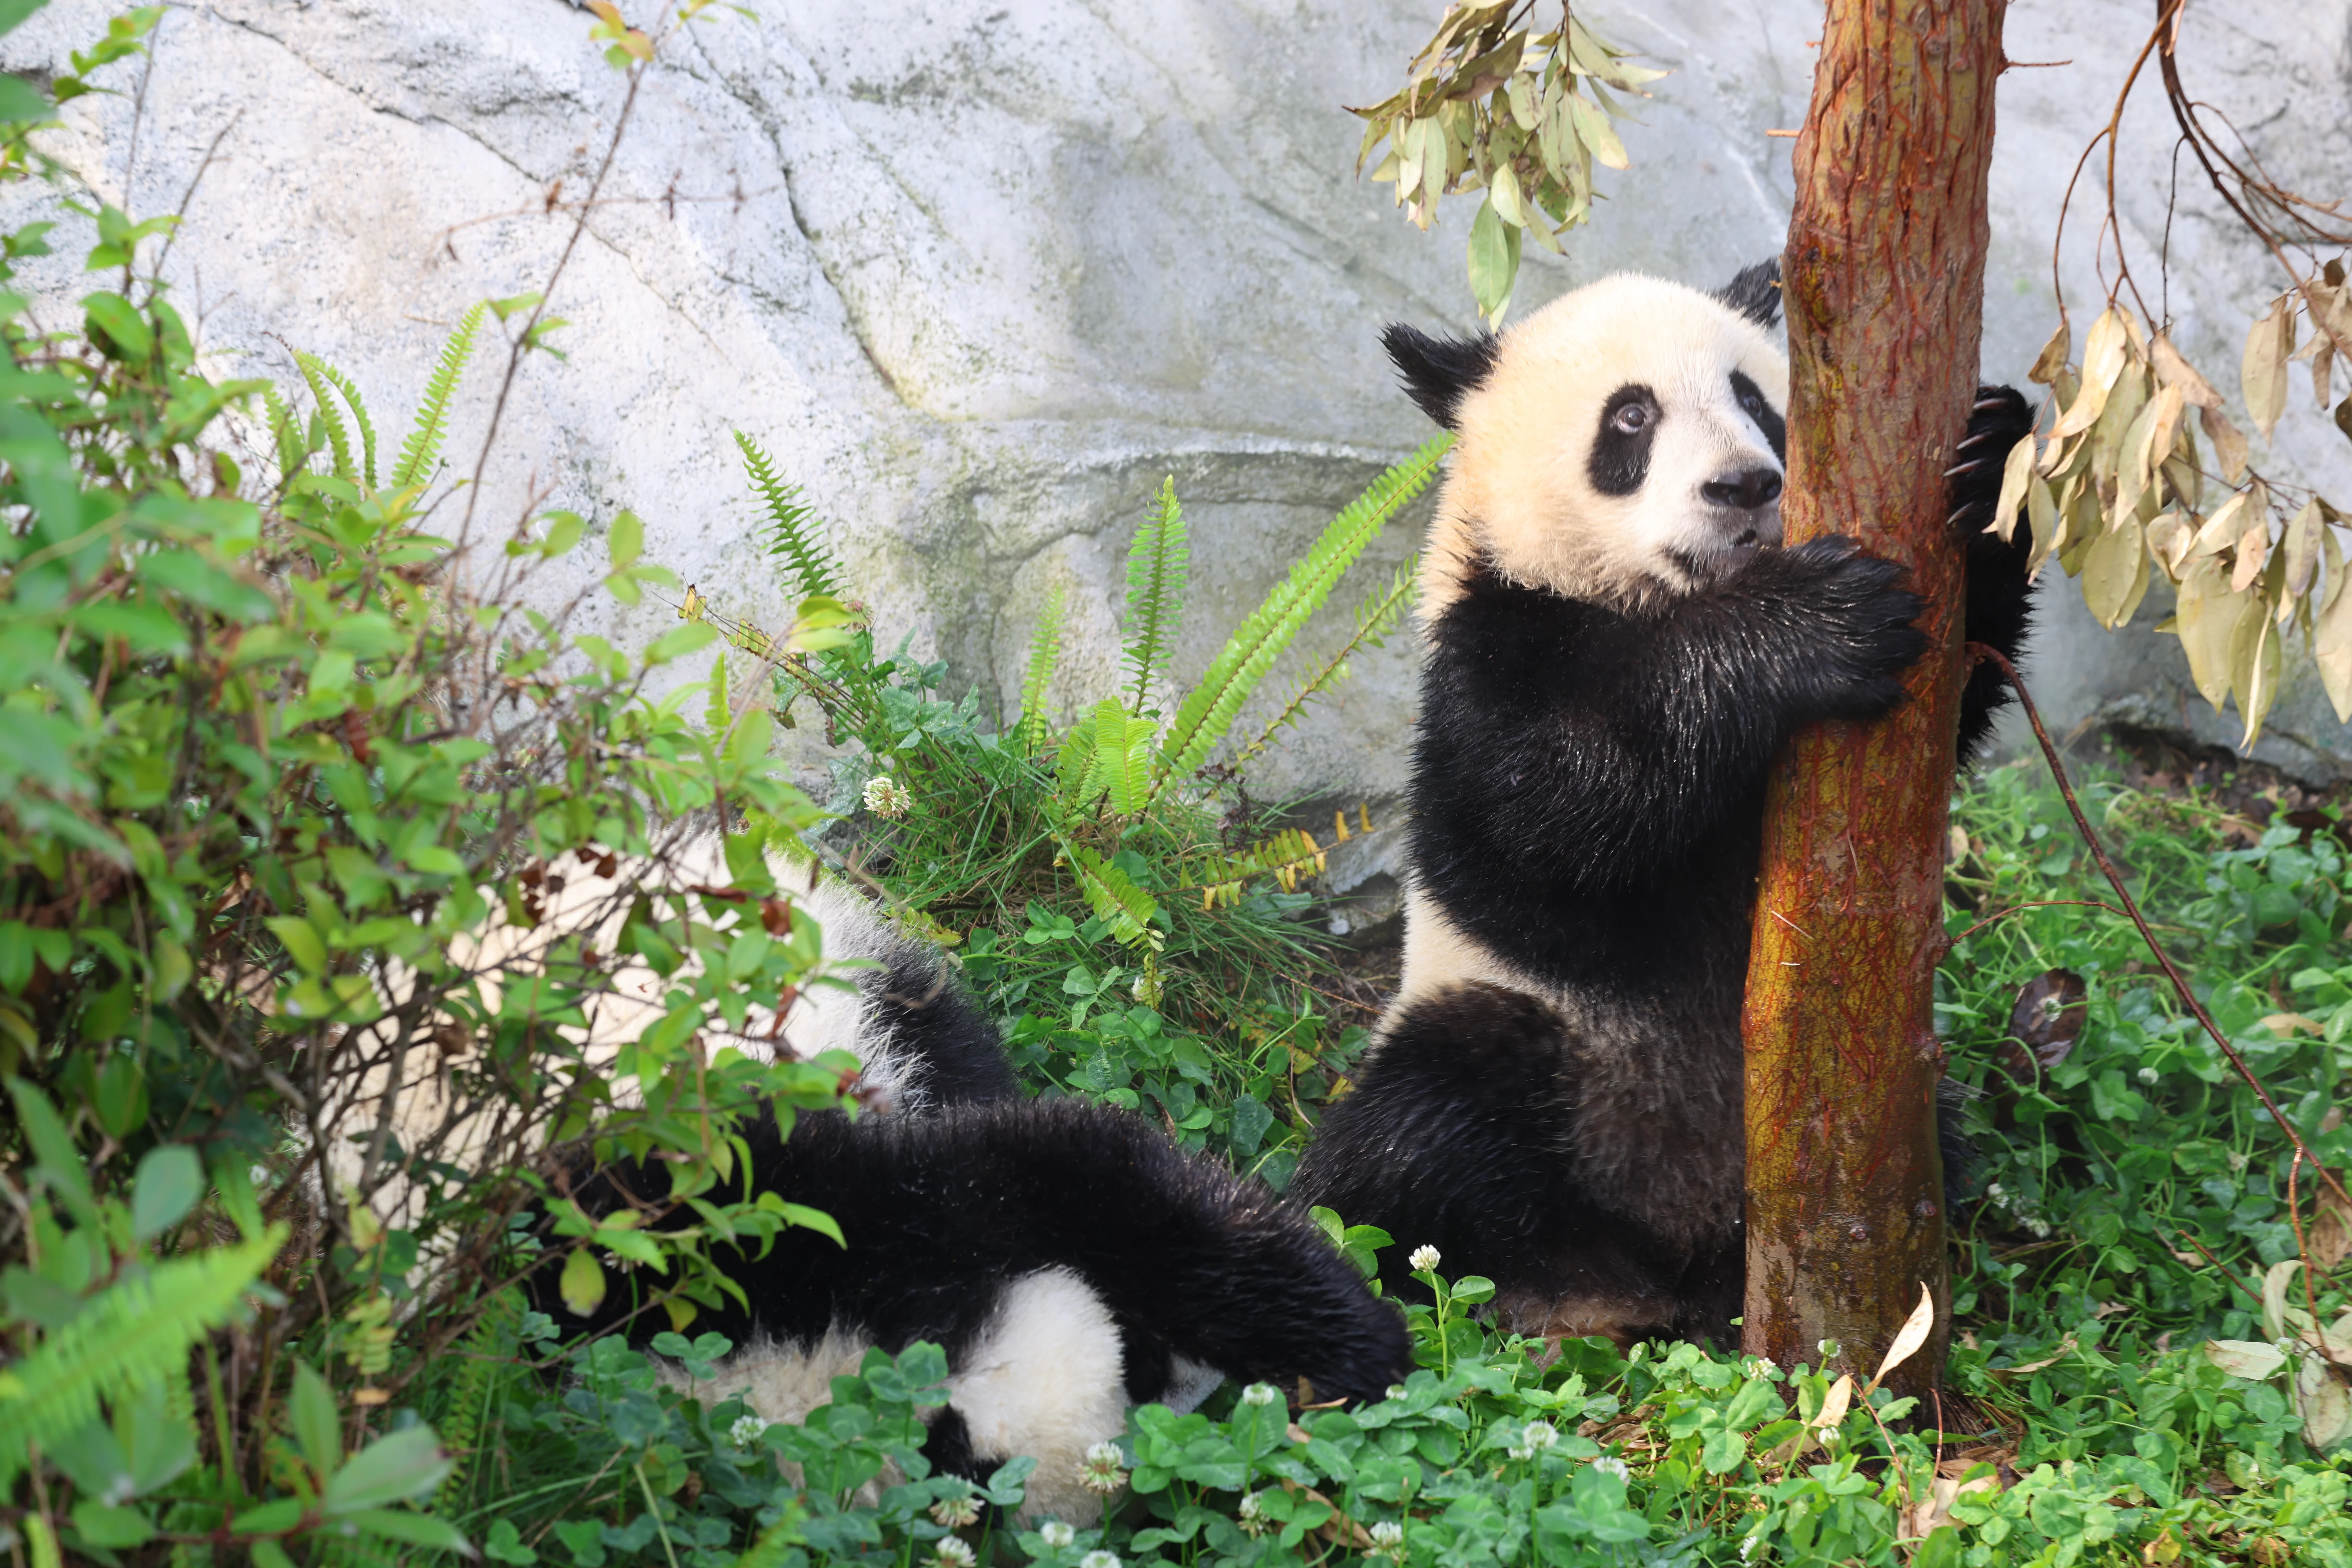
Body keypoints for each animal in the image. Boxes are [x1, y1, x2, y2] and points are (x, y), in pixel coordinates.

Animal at [533, 877, 1412, 1524]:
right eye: (1143, 1379)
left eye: (1140, 1356)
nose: (1203, 1393)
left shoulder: (762, 1199)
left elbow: (1100, 1183)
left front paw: (1366, 1352)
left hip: (845, 971)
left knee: (936, 1026)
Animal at [1289, 260, 2034, 1350]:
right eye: (1631, 418)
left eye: (1755, 400)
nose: (1744, 485)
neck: (1659, 597)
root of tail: (1664, 1239)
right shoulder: (1486, 647)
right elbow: (1553, 807)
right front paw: (1814, 625)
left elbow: (1962, 693)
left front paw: (1989, 461)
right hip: (1533, 1039)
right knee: (1409, 1132)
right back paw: (1536, 1285)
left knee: (1931, 1123)